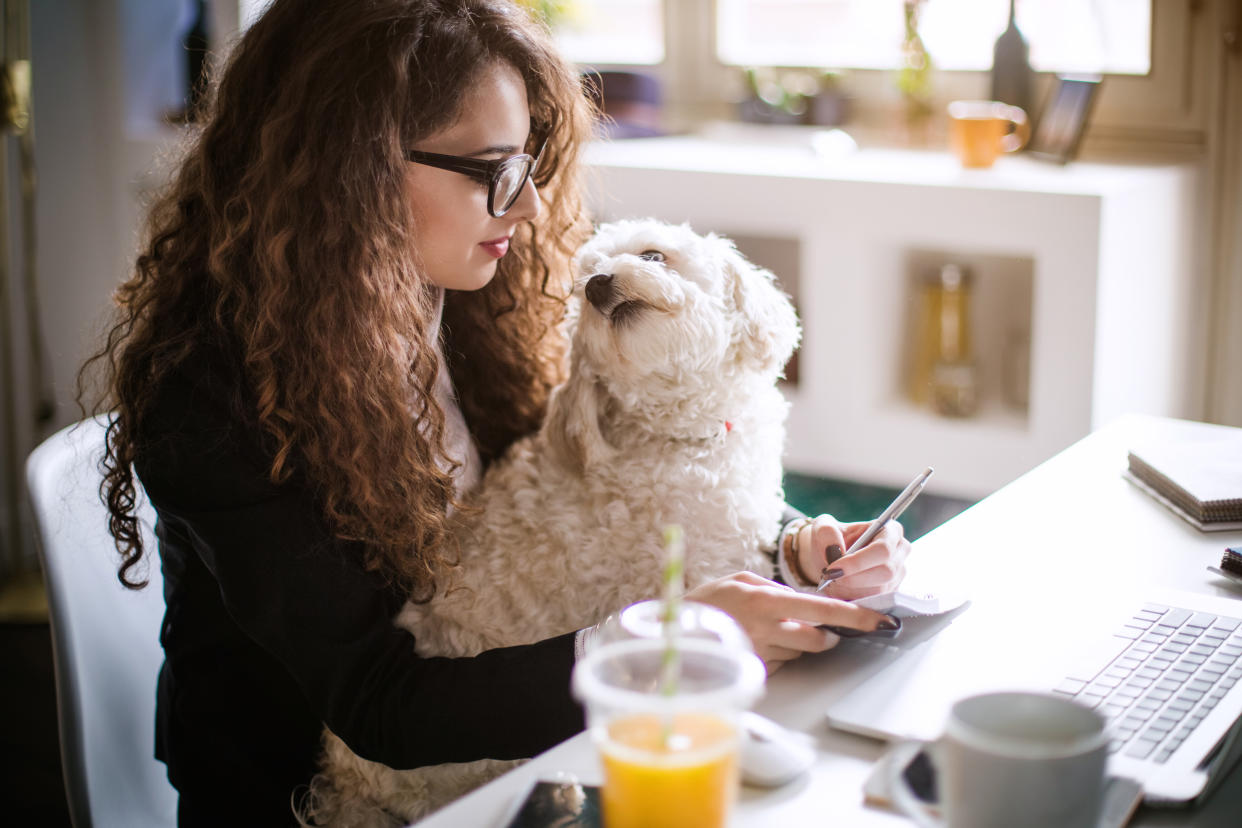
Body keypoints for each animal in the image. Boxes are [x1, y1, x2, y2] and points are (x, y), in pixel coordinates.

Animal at [305, 217, 799, 824]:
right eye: (582, 288)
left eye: (653, 255)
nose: (600, 285)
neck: (682, 437)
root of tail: (345, 783)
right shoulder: (693, 572)